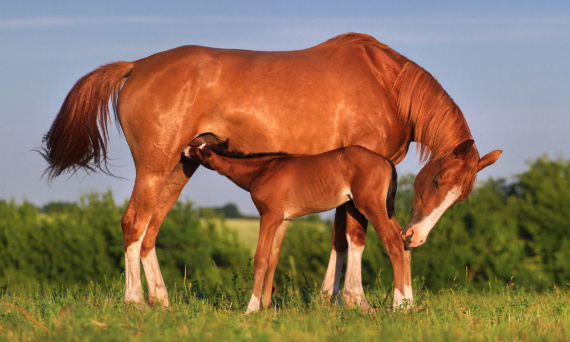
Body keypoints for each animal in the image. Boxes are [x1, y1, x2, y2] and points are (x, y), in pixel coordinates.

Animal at [182, 140, 394, 314]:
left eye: (199, 150)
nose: (185, 149)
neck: (263, 170)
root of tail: (386, 162)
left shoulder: (269, 217)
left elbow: (260, 259)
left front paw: (252, 308)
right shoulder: (283, 221)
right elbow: (273, 259)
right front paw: (266, 305)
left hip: (371, 207)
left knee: (394, 242)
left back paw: (398, 305)